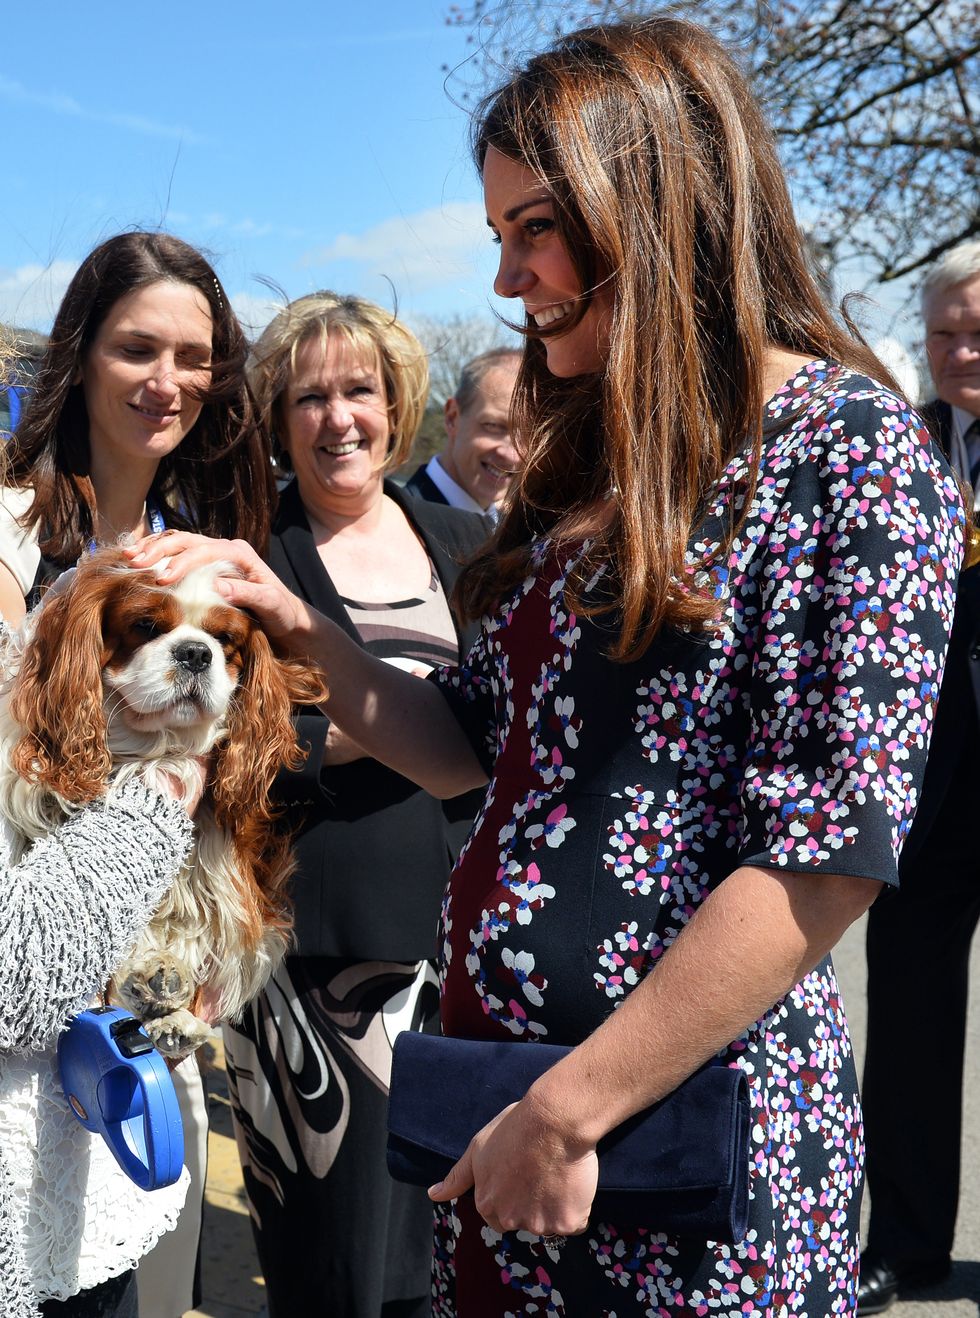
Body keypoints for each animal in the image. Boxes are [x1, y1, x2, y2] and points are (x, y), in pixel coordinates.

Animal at [0, 550, 329, 1054]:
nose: (195, 653)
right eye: (146, 625)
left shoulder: (231, 875)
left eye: (225, 639)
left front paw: (177, 1008)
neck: (147, 744)